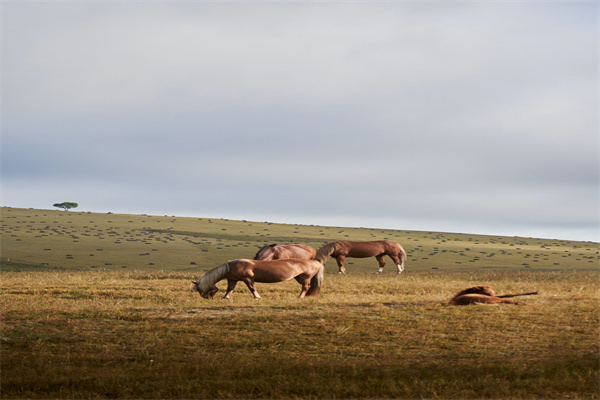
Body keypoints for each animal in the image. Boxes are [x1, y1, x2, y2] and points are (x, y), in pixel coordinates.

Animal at [191, 258, 324, 298]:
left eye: (200, 288)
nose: (206, 298)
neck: (230, 266)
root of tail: (316, 262)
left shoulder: (248, 278)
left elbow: (252, 288)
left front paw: (257, 297)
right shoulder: (232, 279)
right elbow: (230, 289)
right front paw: (226, 297)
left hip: (305, 278)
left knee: (305, 287)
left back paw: (300, 297)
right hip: (299, 278)